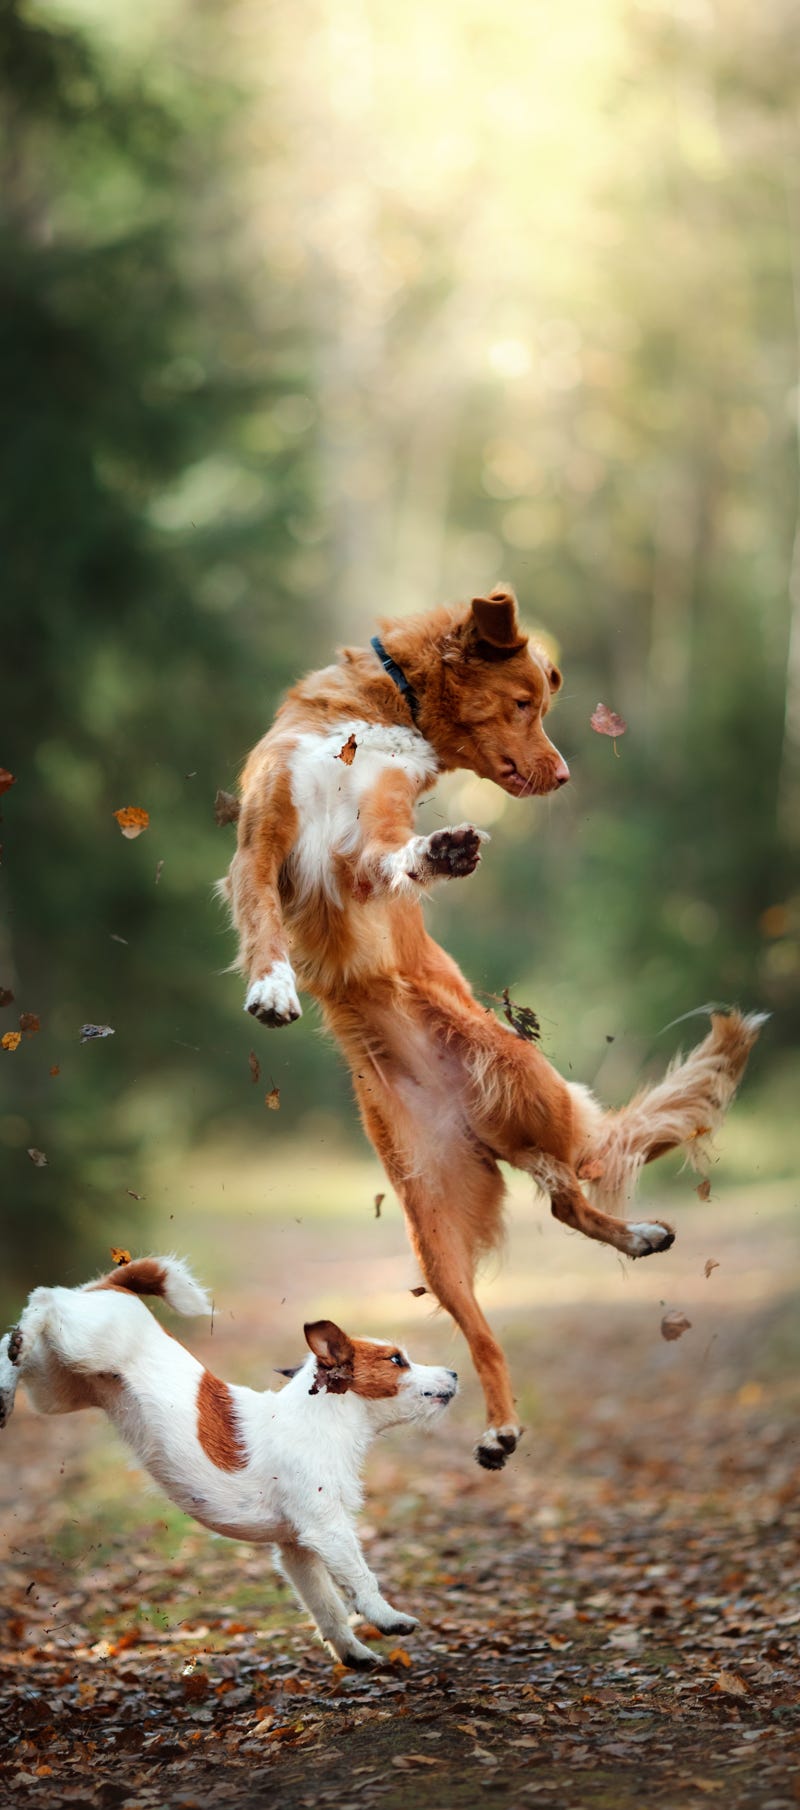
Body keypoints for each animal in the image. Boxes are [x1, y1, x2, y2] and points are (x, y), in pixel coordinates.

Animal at [1, 1259, 456, 1665]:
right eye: (397, 1360)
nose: (454, 1373)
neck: (322, 1420)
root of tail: (116, 1286)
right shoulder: (328, 1531)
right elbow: (362, 1578)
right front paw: (389, 1618)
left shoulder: (297, 1549)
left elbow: (326, 1607)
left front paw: (354, 1654)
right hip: (84, 1347)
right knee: (45, 1298)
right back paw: (19, 1351)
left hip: (55, 1389)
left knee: (15, 1348)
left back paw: (6, 1387)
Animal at [219, 586, 763, 1462]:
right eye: (523, 703)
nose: (567, 772)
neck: (380, 712)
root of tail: (477, 1122)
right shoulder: (263, 833)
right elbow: (263, 912)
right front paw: (271, 983)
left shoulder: (365, 837)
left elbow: (386, 857)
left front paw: (436, 854)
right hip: (435, 1232)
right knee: (498, 1308)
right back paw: (503, 1423)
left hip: (534, 1093)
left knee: (577, 1178)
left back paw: (635, 1238)